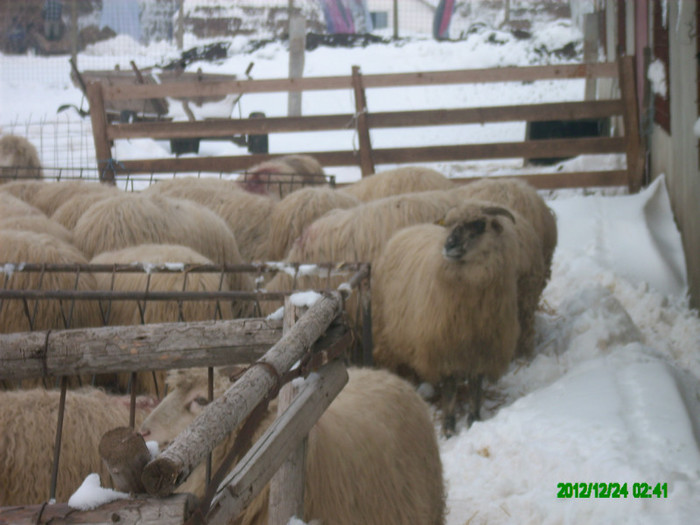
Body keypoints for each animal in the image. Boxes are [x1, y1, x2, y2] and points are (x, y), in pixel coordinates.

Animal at [372, 203, 520, 436]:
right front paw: (449, 427)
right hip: (385, 333)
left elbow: (476, 388)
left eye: (479, 224)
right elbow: (450, 392)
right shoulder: (443, 350)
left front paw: (474, 419)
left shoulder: (483, 350)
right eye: (449, 225)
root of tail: (405, 230)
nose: (448, 245)